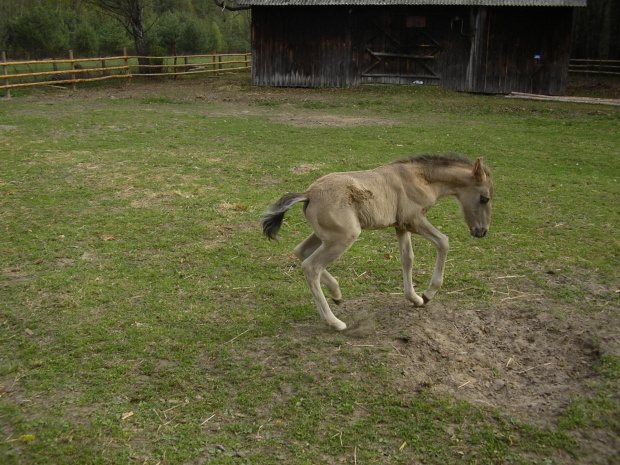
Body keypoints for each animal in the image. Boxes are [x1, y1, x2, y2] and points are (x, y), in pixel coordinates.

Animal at [262, 155, 494, 330]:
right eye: (484, 198)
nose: (481, 231)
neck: (419, 178)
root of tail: (308, 193)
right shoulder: (415, 220)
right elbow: (443, 242)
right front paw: (428, 294)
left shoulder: (401, 226)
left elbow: (407, 259)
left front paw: (415, 299)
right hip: (344, 237)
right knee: (311, 267)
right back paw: (334, 322)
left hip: (325, 236)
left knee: (301, 251)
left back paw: (336, 294)